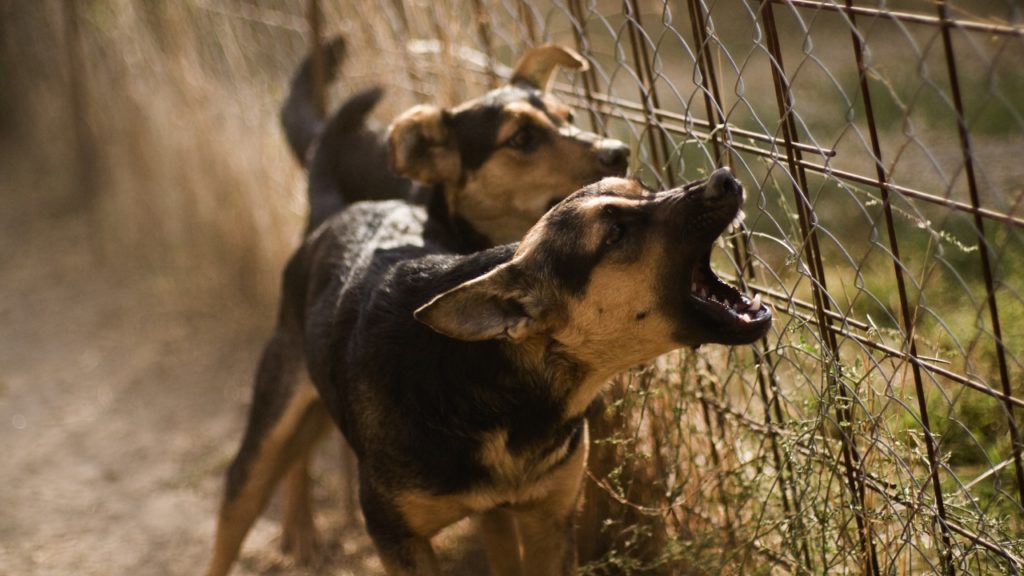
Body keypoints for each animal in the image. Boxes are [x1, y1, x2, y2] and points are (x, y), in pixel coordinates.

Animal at [205, 168, 770, 569]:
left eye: (645, 189)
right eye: (614, 232)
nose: (725, 177)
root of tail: (340, 210)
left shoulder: (548, 520)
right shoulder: (397, 539)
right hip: (265, 431)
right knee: (240, 504)